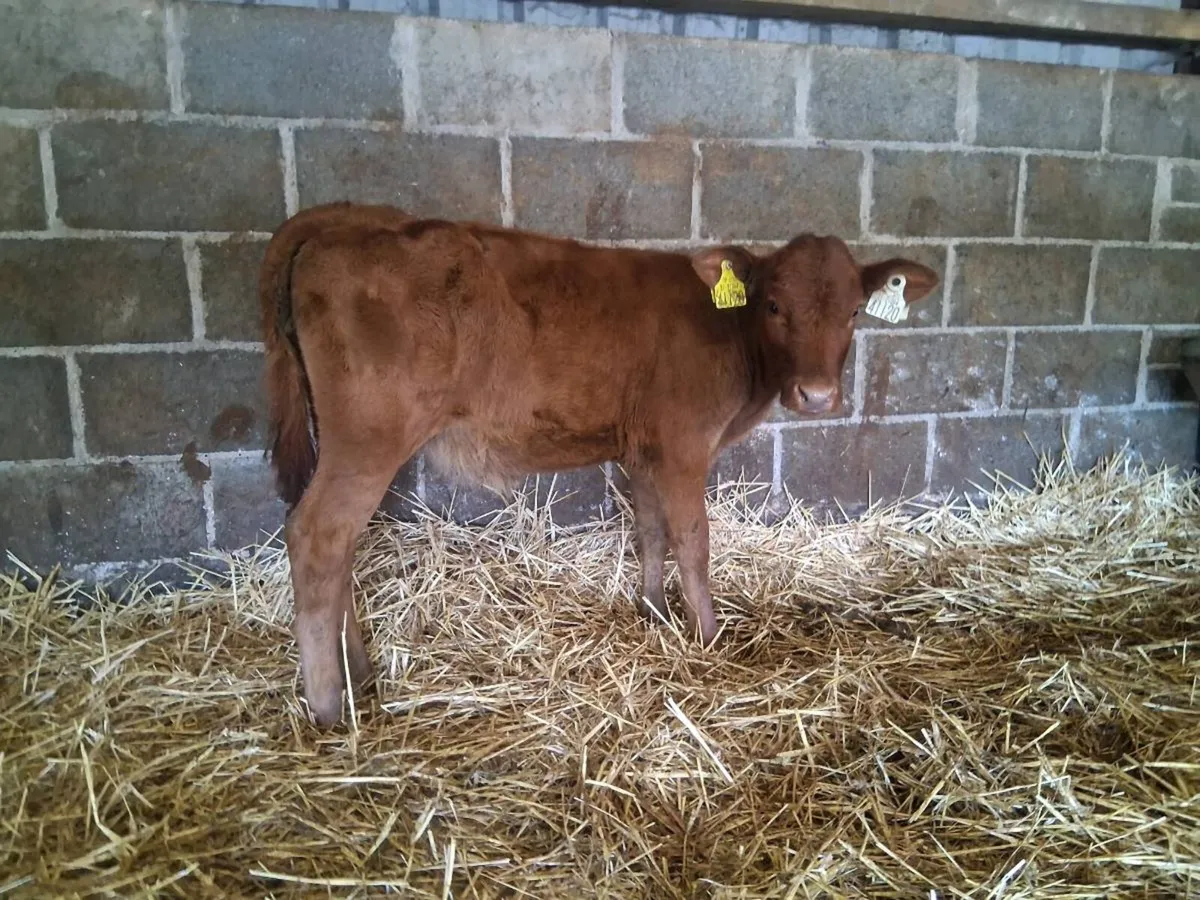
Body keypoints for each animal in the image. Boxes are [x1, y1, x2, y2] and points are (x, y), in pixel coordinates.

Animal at [261, 202, 938, 725]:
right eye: (773, 306)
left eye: (853, 311)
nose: (817, 396)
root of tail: (351, 218)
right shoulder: (683, 444)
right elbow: (694, 540)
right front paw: (708, 636)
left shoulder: (646, 447)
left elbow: (651, 530)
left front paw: (654, 612)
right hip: (369, 437)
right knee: (319, 535)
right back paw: (328, 705)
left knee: (341, 545)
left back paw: (358, 674)